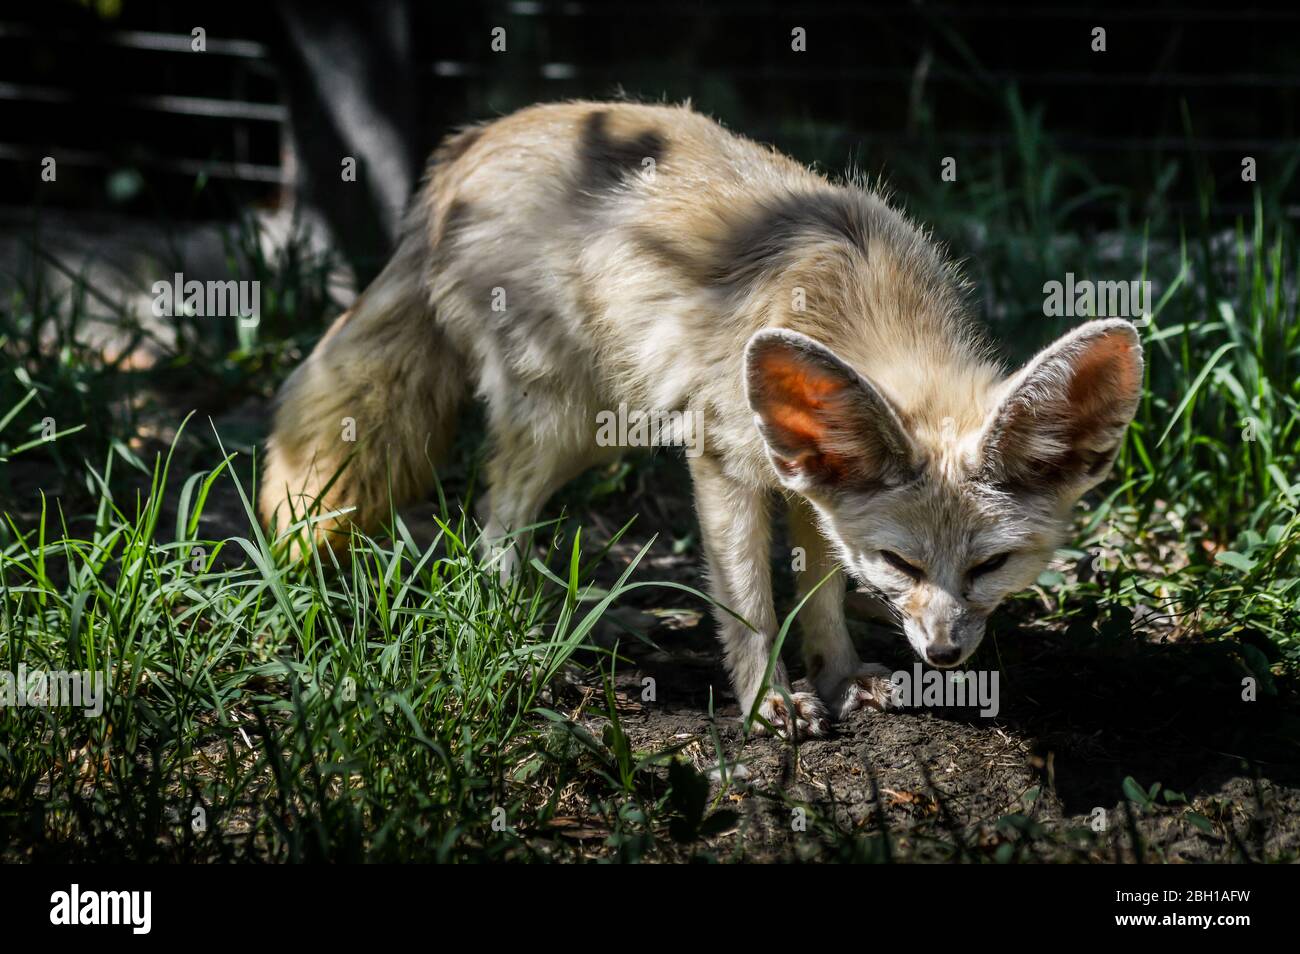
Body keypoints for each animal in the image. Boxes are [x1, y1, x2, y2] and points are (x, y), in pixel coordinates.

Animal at [261, 100, 1144, 737]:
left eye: (991, 565)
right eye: (903, 563)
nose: (944, 652)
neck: (858, 299)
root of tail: (469, 143)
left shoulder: (810, 482)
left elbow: (820, 592)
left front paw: (836, 676)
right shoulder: (725, 465)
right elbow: (751, 606)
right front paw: (766, 703)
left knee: (503, 521)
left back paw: (588, 617)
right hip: (571, 421)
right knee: (494, 524)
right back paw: (537, 627)